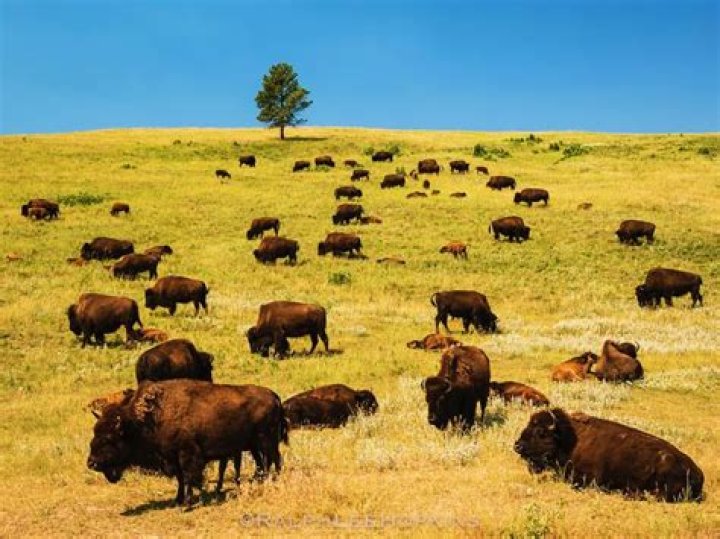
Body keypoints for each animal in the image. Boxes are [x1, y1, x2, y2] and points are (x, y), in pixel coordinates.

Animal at [87, 380, 287, 506]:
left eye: (109, 438)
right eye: (94, 433)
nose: (91, 463)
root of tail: (274, 396)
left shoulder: (187, 454)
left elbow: (189, 476)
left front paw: (188, 502)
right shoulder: (172, 457)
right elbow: (181, 478)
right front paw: (178, 500)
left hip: (266, 441)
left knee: (274, 460)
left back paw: (270, 481)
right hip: (255, 444)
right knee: (264, 462)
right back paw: (259, 481)